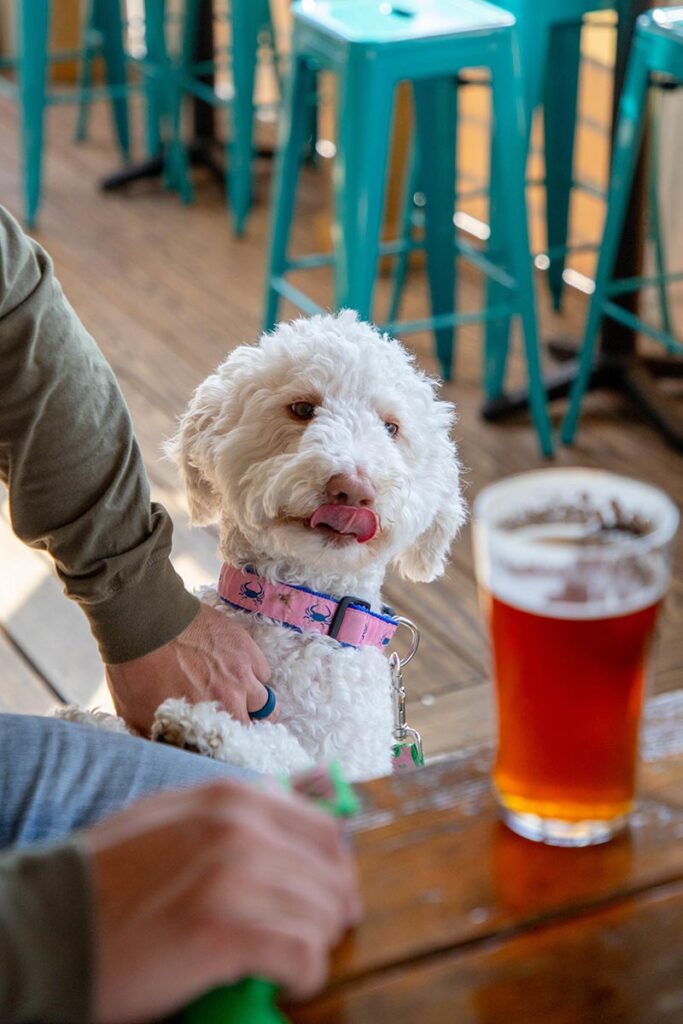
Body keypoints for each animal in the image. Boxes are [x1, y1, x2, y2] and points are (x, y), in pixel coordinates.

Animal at [60, 307, 464, 778]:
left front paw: (207, 728)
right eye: (303, 408)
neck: (296, 615)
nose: (353, 489)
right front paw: (94, 721)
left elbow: (281, 756)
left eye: (391, 427)